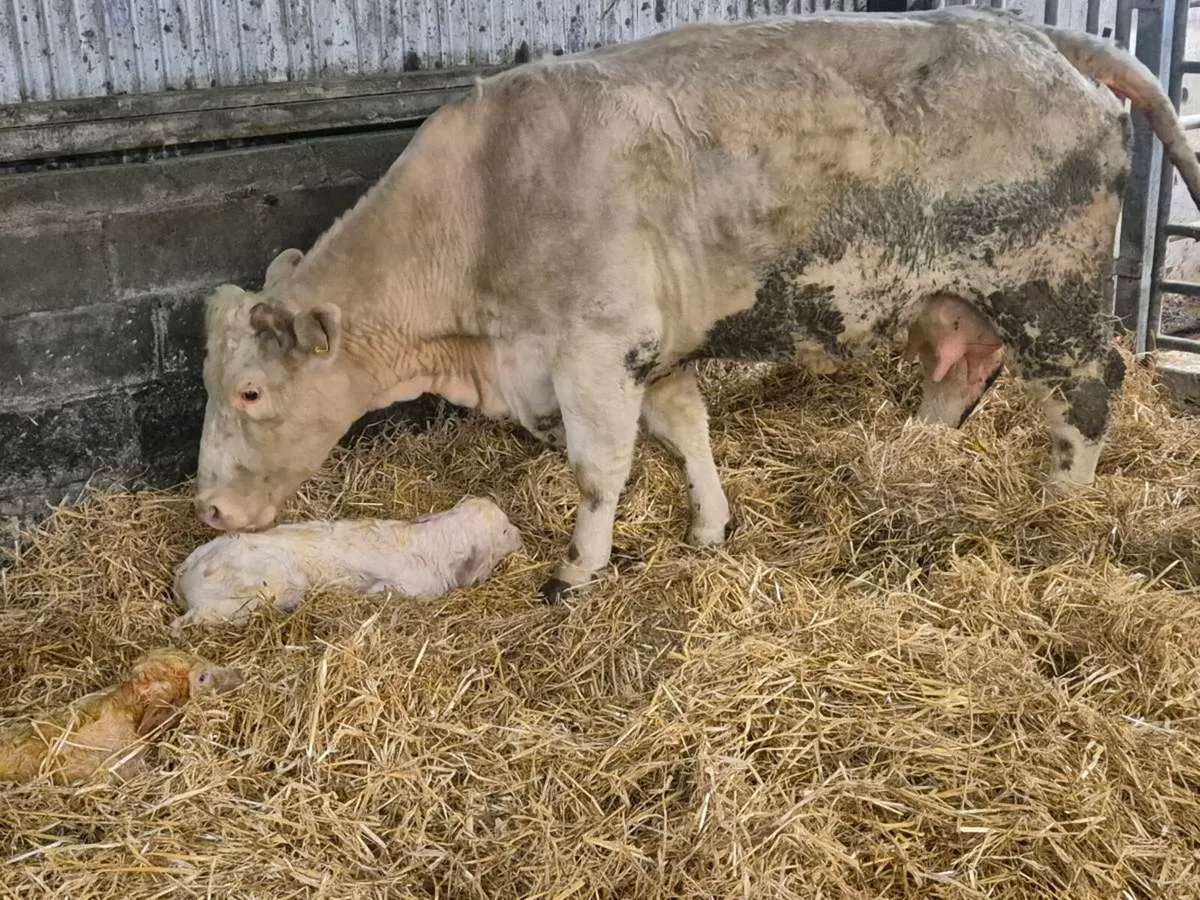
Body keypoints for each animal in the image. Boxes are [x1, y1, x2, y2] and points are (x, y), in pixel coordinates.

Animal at [192, 7, 1200, 602]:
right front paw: (712, 524)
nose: (206, 511)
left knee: (1091, 385)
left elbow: (600, 471)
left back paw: (1064, 495)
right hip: (963, 297)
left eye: (251, 393)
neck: (484, 203)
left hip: (1050, 288)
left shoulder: (596, 354)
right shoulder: (657, 355)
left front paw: (578, 569)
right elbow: (689, 434)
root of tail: (1037, 36)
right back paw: (917, 446)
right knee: (963, 367)